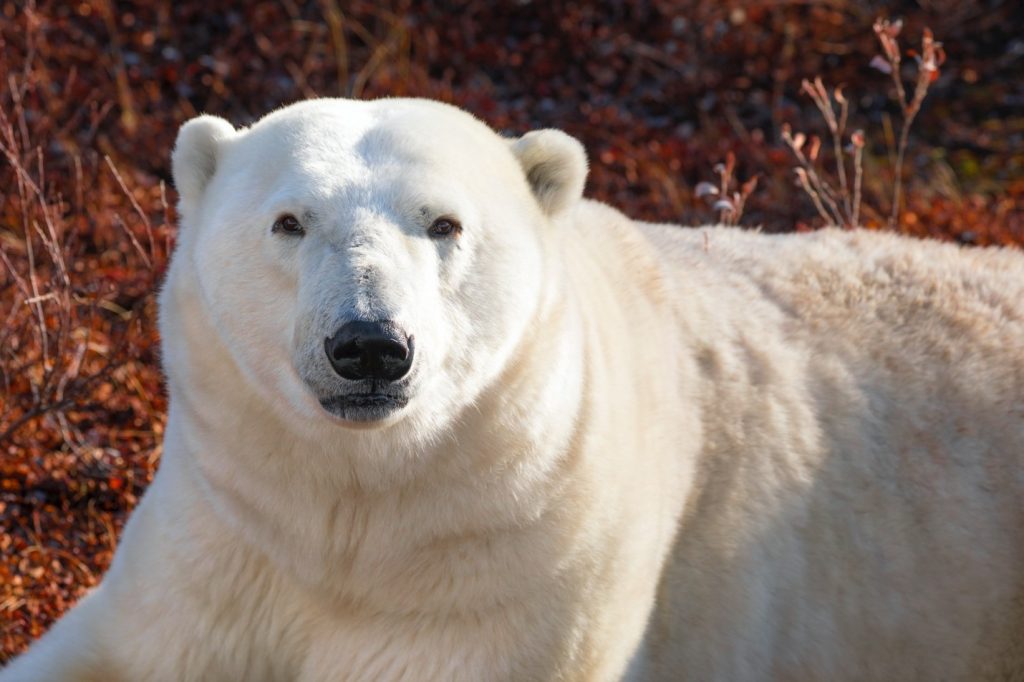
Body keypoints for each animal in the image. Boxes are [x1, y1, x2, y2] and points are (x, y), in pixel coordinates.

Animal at [2, 96, 1024, 679]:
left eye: (443, 222)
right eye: (289, 220)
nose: (369, 347)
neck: (352, 516)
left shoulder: (512, 573)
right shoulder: (222, 540)